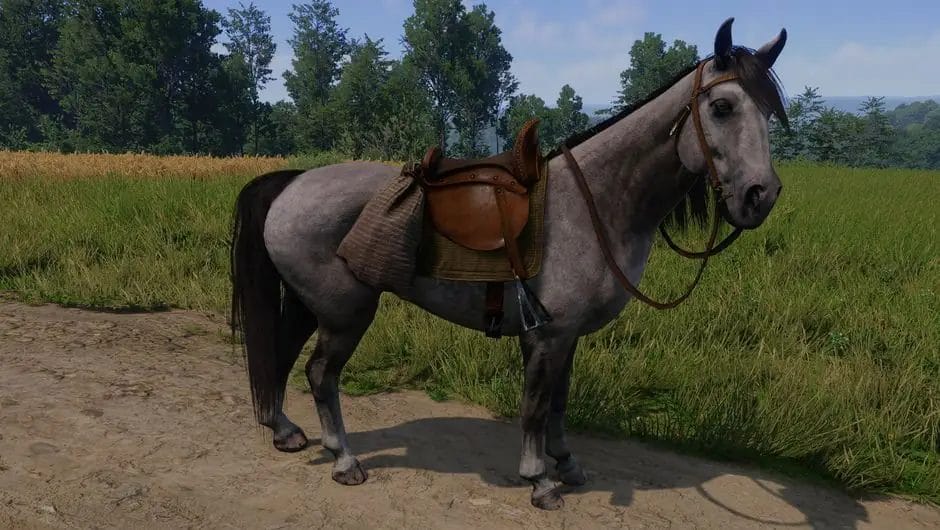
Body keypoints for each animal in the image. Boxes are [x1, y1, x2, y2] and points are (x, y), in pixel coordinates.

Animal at [229, 17, 790, 510]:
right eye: (722, 106)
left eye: (768, 112)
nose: (760, 196)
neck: (595, 200)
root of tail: (293, 183)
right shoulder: (548, 335)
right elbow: (535, 407)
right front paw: (540, 481)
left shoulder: (567, 337)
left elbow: (559, 402)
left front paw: (567, 464)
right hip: (345, 314)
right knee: (321, 373)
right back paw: (344, 459)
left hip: (310, 305)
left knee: (283, 356)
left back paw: (286, 432)